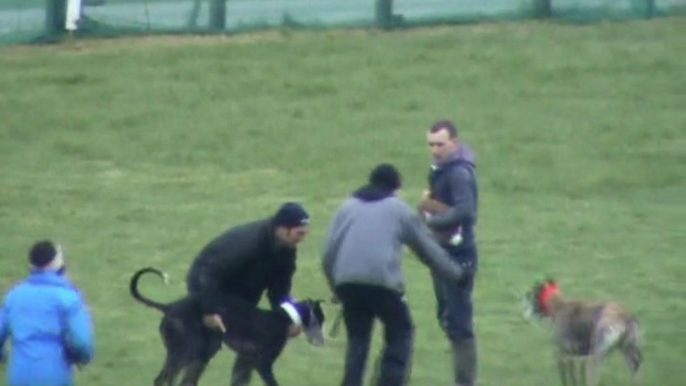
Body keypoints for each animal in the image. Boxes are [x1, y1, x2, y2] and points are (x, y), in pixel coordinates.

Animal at [130, 266, 328, 384]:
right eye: (321, 319)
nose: (323, 342)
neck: (284, 318)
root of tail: (169, 307)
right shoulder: (263, 363)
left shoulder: (246, 361)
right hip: (188, 350)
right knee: (165, 378)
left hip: (192, 351)